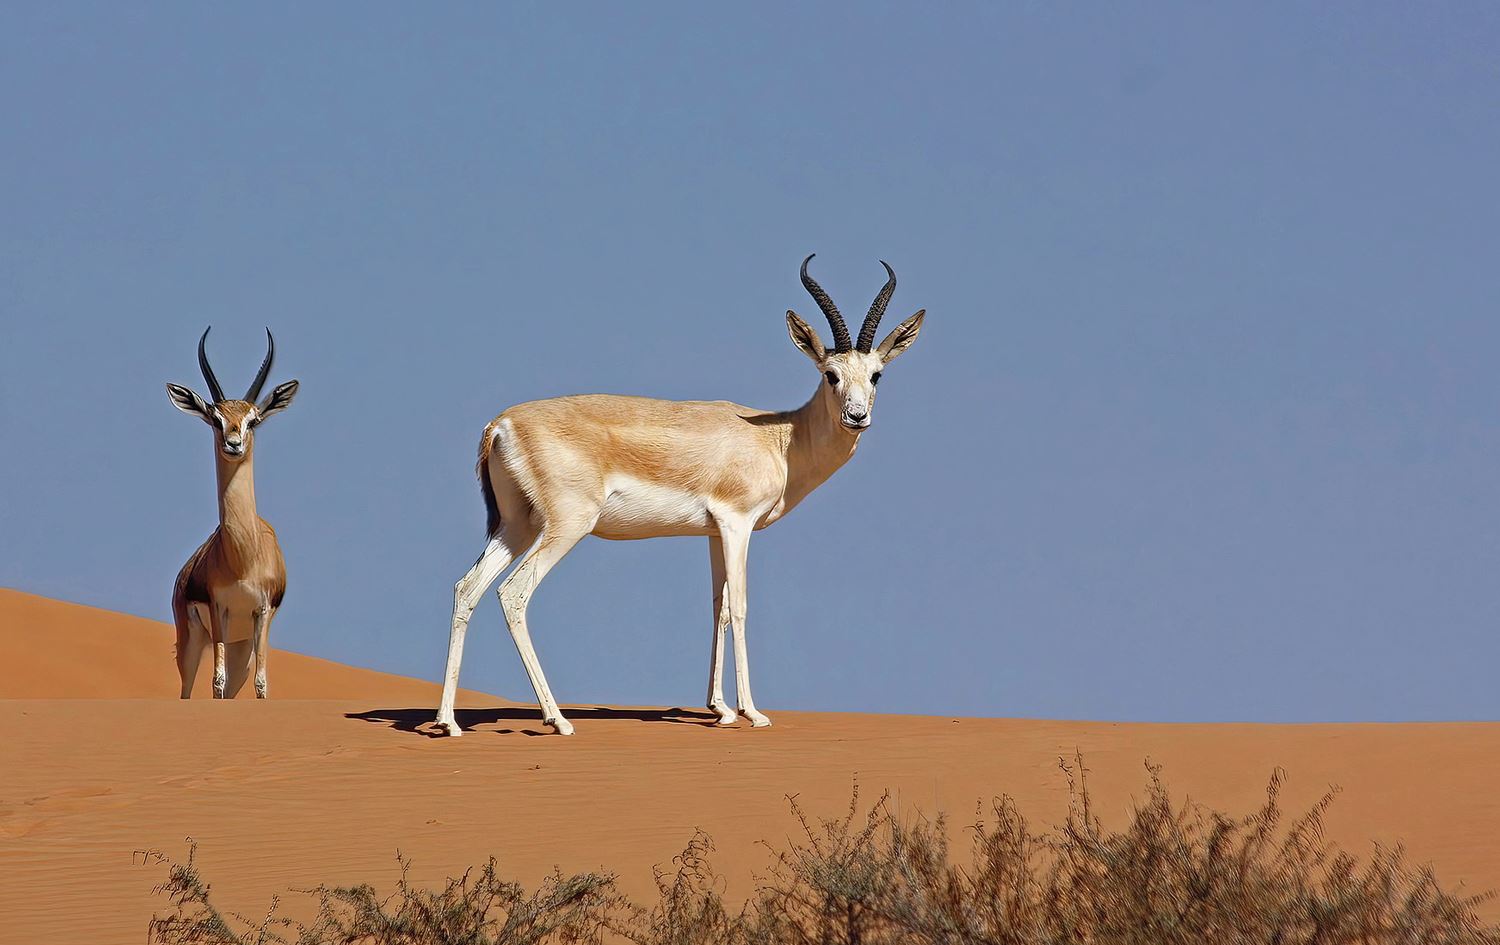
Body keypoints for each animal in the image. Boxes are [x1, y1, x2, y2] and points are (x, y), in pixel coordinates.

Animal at [166, 328, 299, 699]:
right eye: (216, 418)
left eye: (253, 420)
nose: (234, 443)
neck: (244, 556)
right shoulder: (219, 609)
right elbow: (217, 681)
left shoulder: (261, 612)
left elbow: (261, 683)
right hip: (194, 640)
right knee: (188, 689)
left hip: (242, 646)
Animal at [435, 256, 925, 736]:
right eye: (830, 374)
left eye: (876, 375)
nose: (856, 416)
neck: (780, 439)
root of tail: (500, 424)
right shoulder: (737, 523)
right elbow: (741, 607)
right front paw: (752, 713)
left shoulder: (712, 533)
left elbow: (718, 609)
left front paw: (720, 709)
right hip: (566, 526)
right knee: (513, 593)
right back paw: (557, 719)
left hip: (516, 525)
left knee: (467, 588)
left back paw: (448, 721)